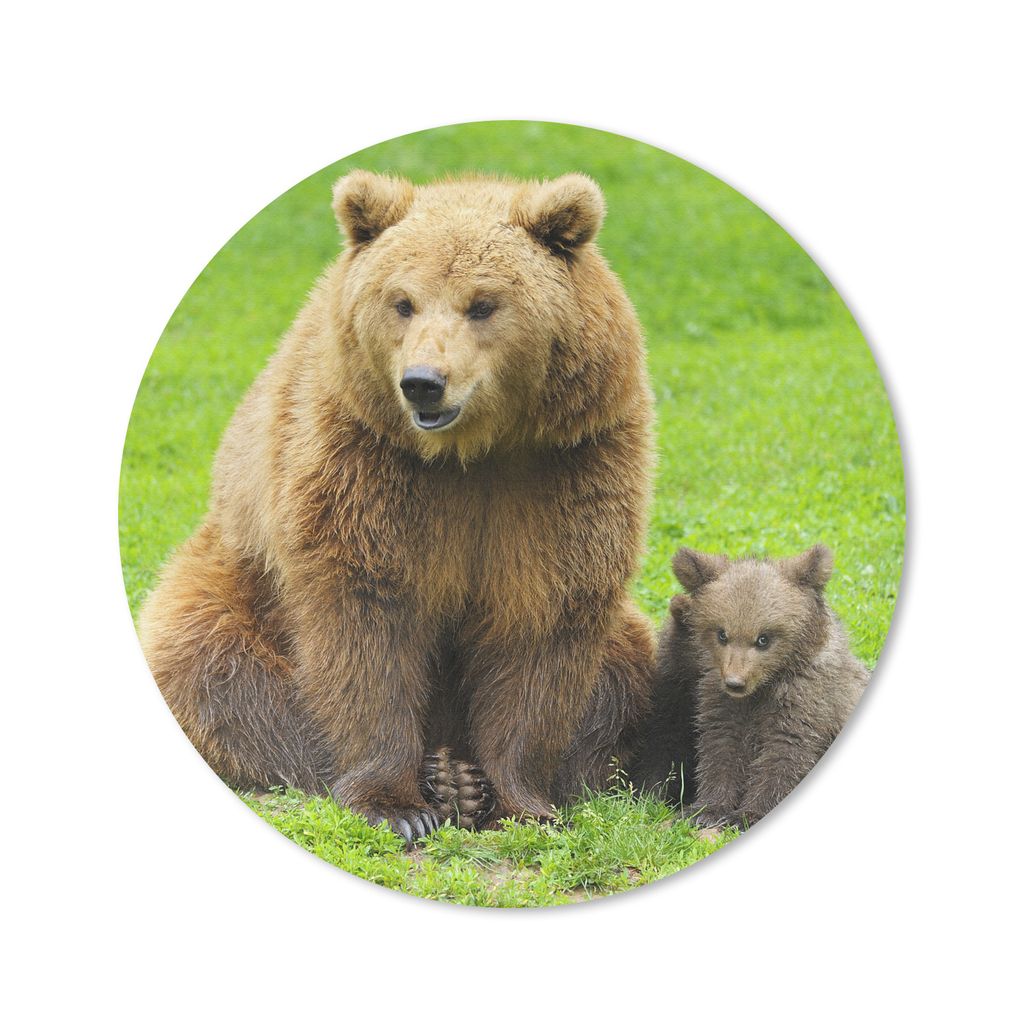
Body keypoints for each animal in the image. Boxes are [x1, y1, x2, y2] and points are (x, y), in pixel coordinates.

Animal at [138, 170, 656, 842]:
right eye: (402, 301)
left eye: (482, 303)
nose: (422, 382)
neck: (471, 452)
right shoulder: (365, 457)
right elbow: (366, 616)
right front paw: (397, 805)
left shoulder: (564, 466)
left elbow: (542, 620)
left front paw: (521, 802)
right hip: (232, 580)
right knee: (209, 662)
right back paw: (434, 775)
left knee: (624, 673)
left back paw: (462, 779)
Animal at [632, 544, 869, 829]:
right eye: (722, 634)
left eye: (763, 638)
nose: (735, 682)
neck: (764, 687)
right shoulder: (718, 704)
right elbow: (720, 750)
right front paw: (706, 810)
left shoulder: (805, 702)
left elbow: (783, 756)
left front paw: (749, 814)